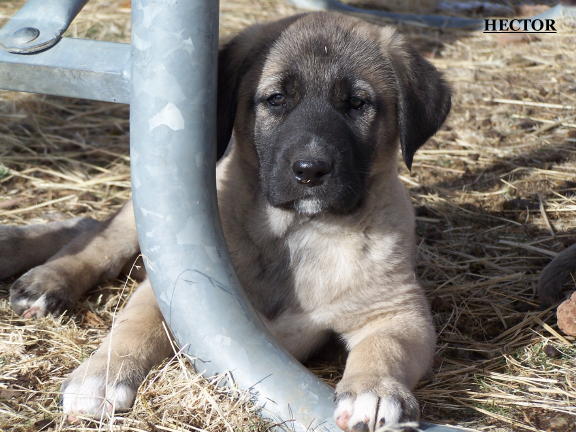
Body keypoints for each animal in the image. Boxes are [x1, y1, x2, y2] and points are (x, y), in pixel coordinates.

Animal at [1, 12, 451, 431]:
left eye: (357, 104)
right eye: (275, 99)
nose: (310, 170)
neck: (297, 234)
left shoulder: (397, 312)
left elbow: (386, 349)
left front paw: (374, 393)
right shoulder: (176, 288)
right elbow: (133, 325)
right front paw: (101, 376)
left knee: (84, 224)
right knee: (99, 239)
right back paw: (45, 280)